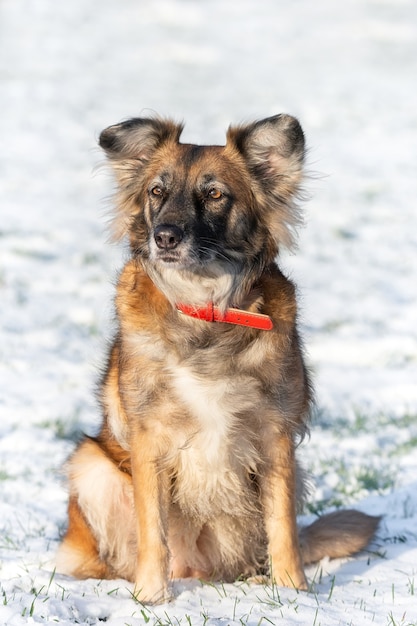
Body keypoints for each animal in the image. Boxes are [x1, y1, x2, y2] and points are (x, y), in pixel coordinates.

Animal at [57, 114, 378, 604]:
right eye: (156, 191)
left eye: (214, 194)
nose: (164, 237)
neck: (205, 309)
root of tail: (199, 571)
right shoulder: (149, 440)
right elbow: (154, 531)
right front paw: (151, 599)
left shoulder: (275, 436)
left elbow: (282, 526)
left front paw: (293, 592)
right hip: (91, 464)